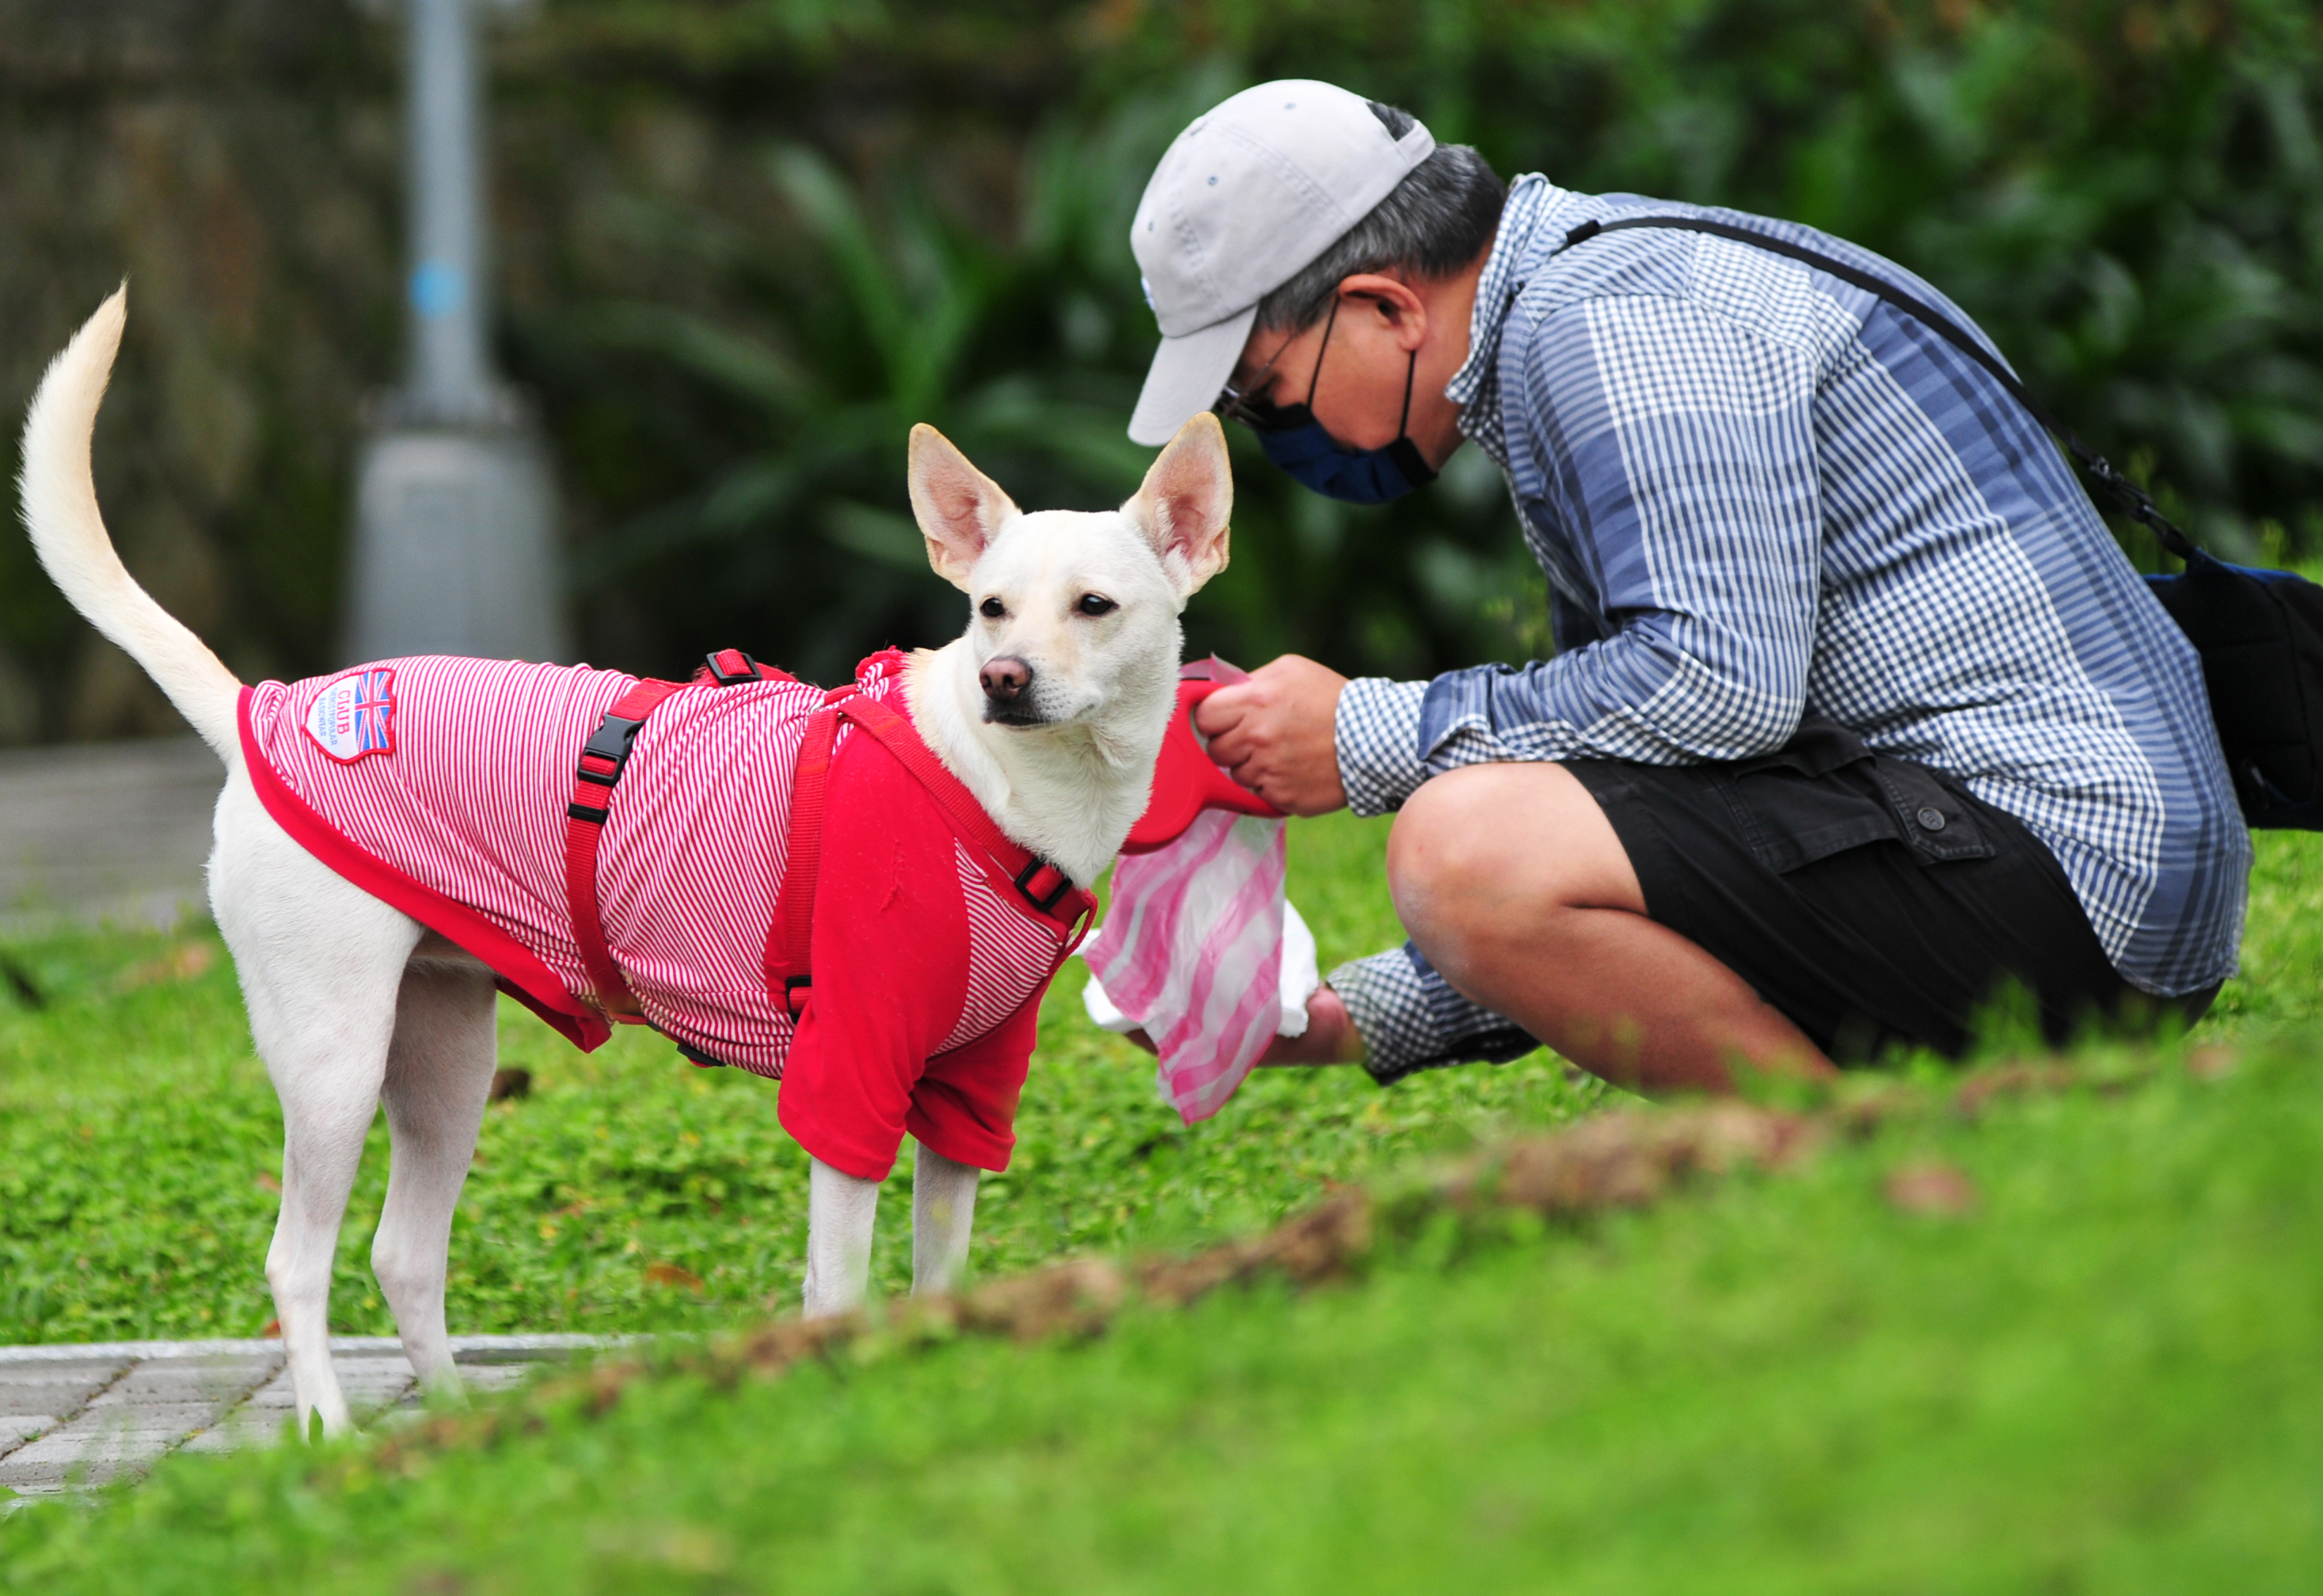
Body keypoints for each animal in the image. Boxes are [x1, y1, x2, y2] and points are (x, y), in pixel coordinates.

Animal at [17, 294, 1235, 1440]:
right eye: (989, 610)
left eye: (1094, 606)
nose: (1004, 678)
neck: (994, 787)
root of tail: (261, 711)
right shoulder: (848, 1078)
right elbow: (840, 1282)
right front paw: (839, 1386)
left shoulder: (968, 1096)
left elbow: (940, 1268)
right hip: (334, 1062)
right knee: (296, 1263)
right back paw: (329, 1434)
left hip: (446, 1064)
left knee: (402, 1254)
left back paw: (459, 1421)